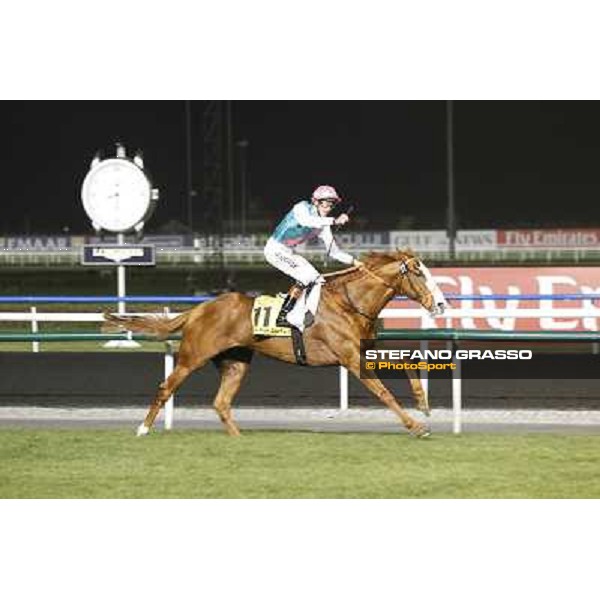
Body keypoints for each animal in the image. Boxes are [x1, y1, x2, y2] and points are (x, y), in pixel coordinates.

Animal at [104, 251, 446, 438]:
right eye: (419, 273)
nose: (441, 304)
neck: (349, 303)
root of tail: (200, 308)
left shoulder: (363, 349)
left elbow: (406, 363)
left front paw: (423, 402)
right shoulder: (350, 357)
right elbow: (384, 392)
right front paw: (417, 427)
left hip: (237, 362)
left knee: (221, 402)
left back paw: (240, 438)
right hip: (193, 356)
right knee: (166, 387)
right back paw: (143, 429)